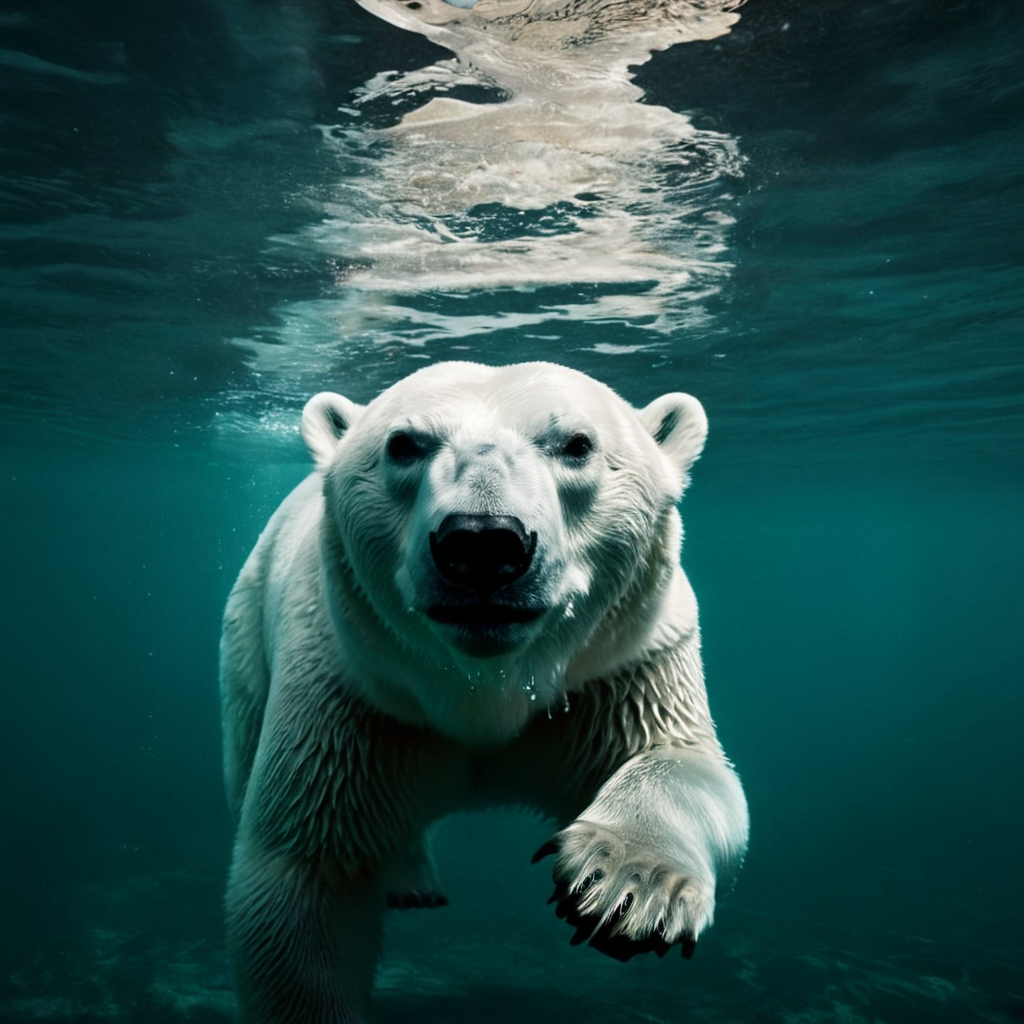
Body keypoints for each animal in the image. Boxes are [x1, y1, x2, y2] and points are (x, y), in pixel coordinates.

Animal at [220, 361, 749, 1023]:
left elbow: (689, 765)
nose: (481, 541)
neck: (485, 689)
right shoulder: (354, 694)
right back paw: (412, 883)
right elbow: (301, 875)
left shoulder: (624, 668)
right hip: (248, 628)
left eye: (578, 444)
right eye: (404, 444)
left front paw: (624, 885)